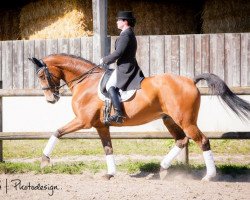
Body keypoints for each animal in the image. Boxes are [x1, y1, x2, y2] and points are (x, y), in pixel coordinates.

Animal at [28, 53, 250, 181]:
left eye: (41, 75)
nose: (51, 99)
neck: (86, 81)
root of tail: (190, 80)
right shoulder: (101, 126)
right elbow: (108, 148)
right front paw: (110, 173)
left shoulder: (83, 121)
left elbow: (57, 131)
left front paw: (44, 160)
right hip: (169, 119)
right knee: (181, 140)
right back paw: (162, 169)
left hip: (186, 121)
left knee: (202, 140)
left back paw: (209, 176)